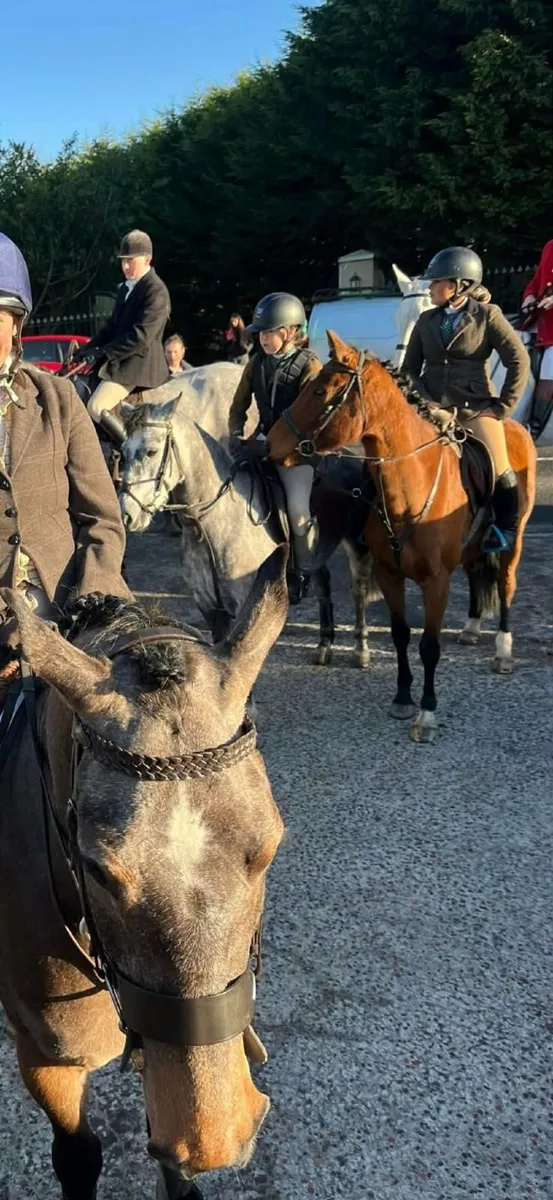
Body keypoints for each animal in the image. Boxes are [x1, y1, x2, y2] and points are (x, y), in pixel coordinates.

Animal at [118, 388, 380, 668]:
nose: (127, 515)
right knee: (323, 581)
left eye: (151, 451)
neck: (208, 525)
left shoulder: (250, 604)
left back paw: (361, 649)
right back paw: (324, 645)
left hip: (358, 544)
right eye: (122, 451)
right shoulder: (211, 609)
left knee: (359, 589)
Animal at [266, 331, 537, 743]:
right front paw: (403, 697)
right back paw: (472, 628)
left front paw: (426, 712)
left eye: (319, 390)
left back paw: (503, 650)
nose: (269, 443)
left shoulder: (436, 582)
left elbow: (429, 645)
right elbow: (399, 634)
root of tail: (516, 429)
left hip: (514, 540)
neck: (411, 486)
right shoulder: (389, 574)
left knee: (505, 584)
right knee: (477, 574)